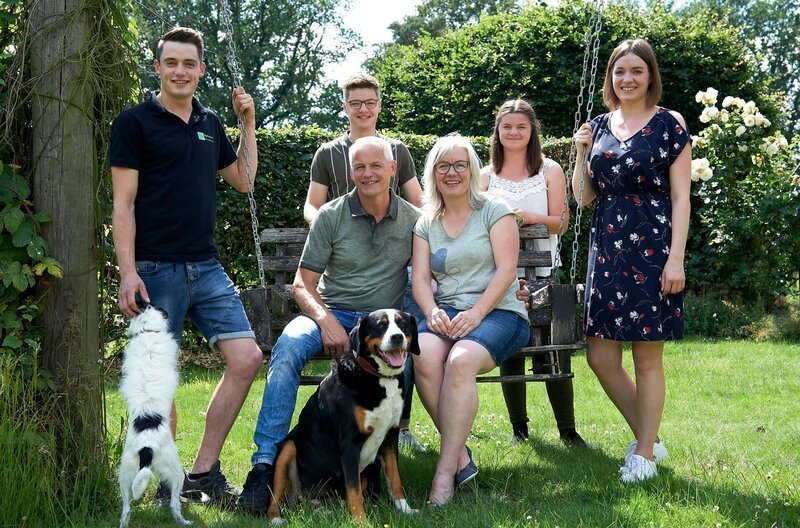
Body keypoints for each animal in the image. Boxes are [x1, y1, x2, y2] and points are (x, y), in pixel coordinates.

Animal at [117, 302, 191, 528]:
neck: (148, 331)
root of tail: (146, 448)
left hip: (125, 474)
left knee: (126, 508)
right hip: (176, 471)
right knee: (174, 504)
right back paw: (183, 521)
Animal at [268, 310, 418, 524]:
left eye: (403, 324)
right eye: (380, 325)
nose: (397, 337)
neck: (379, 378)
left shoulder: (390, 436)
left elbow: (394, 478)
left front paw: (405, 509)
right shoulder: (349, 443)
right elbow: (354, 490)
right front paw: (361, 522)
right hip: (287, 448)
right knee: (274, 495)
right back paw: (276, 518)